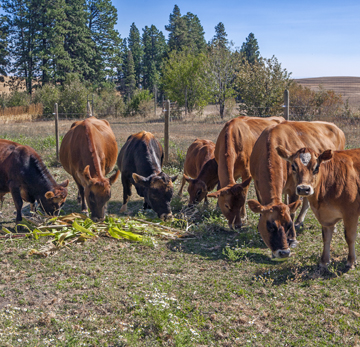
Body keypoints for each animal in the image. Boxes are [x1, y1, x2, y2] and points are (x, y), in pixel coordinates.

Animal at [248, 121, 346, 260]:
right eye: (270, 227)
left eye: (288, 225)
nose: (284, 252)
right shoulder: (257, 186)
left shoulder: (294, 188)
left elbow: (292, 211)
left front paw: (292, 238)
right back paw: (300, 222)